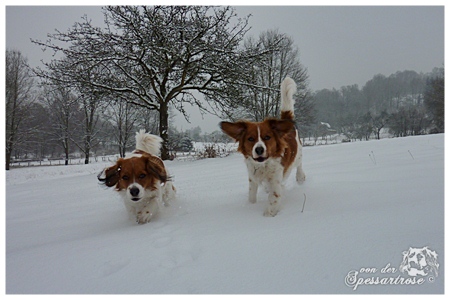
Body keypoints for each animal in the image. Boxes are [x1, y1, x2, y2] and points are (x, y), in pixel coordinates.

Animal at [220, 77, 304, 217]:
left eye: (267, 137)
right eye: (250, 139)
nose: (259, 149)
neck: (263, 165)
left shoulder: (276, 181)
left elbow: (273, 200)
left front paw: (267, 216)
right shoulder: (252, 179)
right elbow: (252, 196)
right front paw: (251, 206)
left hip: (297, 156)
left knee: (299, 164)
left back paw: (301, 178)